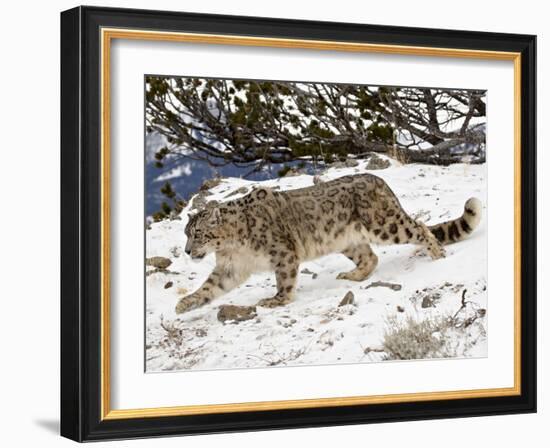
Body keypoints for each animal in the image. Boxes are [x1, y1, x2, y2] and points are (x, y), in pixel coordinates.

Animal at [176, 173, 484, 314]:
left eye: (199, 233)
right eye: (186, 233)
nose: (188, 250)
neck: (231, 247)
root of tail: (379, 180)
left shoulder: (283, 254)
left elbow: (284, 280)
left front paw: (276, 300)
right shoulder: (231, 267)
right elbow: (210, 286)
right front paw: (185, 303)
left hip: (385, 225)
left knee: (418, 227)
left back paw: (437, 254)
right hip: (348, 240)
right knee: (370, 257)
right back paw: (351, 275)